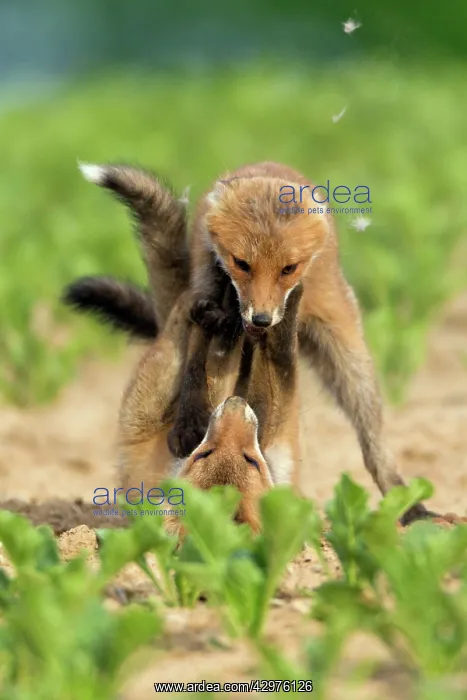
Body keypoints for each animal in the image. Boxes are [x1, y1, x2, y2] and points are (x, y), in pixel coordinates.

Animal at [64, 161, 437, 525]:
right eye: (242, 263)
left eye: (289, 268)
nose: (260, 320)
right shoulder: (202, 300)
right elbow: (196, 368)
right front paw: (189, 425)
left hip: (348, 357)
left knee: (370, 439)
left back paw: (408, 505)